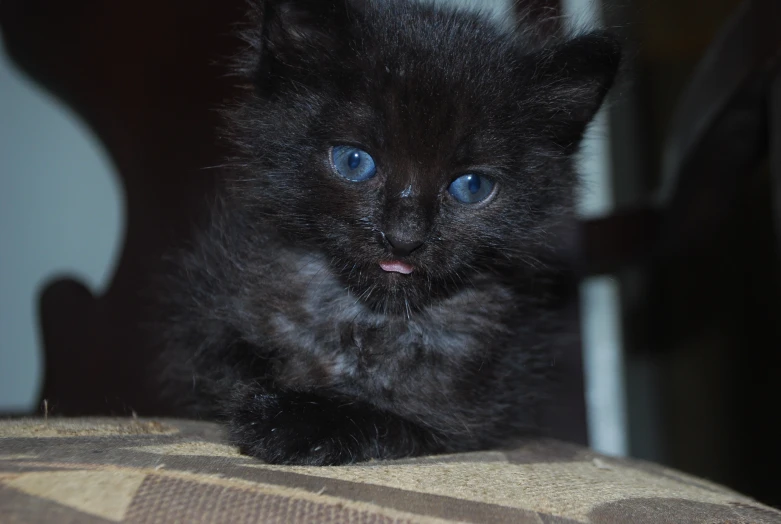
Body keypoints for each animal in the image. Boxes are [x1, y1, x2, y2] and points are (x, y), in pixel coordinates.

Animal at [160, 0, 620, 466]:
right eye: (354, 161)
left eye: (472, 186)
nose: (404, 236)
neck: (368, 319)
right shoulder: (211, 333)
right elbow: (234, 371)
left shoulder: (466, 413)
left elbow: (387, 419)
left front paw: (292, 421)